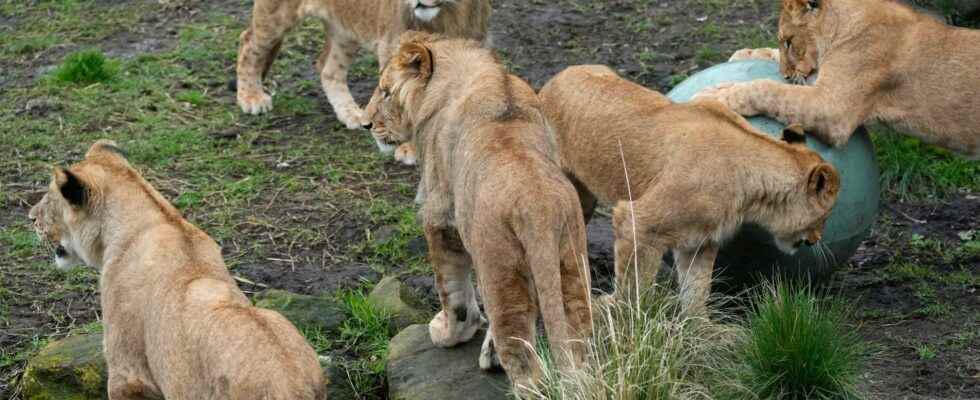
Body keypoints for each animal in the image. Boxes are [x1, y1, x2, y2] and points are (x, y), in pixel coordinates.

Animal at [234, 0, 494, 130]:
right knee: (248, 42)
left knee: (328, 68)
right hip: (276, 15)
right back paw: (251, 98)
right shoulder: (391, 47)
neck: (449, 12)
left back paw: (349, 113)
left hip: (345, 29)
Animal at [364, 32, 592, 392]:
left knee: (526, 368)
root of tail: (538, 206)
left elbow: (452, 289)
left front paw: (448, 333)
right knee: (576, 348)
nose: (366, 123)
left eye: (386, 92)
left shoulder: (440, 215)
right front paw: (488, 351)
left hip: (500, 271)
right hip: (570, 265)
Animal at [696, 0, 980, 159]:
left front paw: (714, 95)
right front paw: (744, 53)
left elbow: (767, 88)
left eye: (789, 41)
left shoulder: (833, 108)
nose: (786, 75)